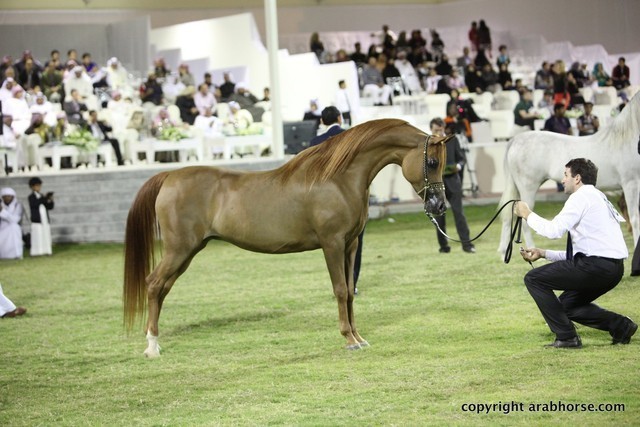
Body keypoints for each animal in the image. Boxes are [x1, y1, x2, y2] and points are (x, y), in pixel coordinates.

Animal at [123, 118, 453, 357]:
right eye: (432, 163)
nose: (439, 206)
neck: (338, 178)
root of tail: (169, 176)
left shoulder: (350, 244)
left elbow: (350, 290)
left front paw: (359, 337)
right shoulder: (332, 244)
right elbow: (340, 291)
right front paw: (349, 340)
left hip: (188, 252)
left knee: (162, 289)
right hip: (179, 250)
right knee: (153, 284)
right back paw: (152, 347)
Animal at [498, 91, 640, 255]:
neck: (626, 139)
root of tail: (516, 139)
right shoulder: (631, 184)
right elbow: (635, 218)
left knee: (508, 216)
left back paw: (503, 252)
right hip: (528, 188)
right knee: (525, 221)